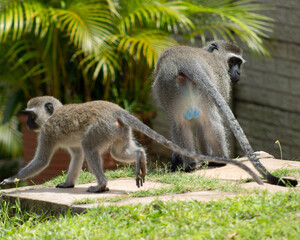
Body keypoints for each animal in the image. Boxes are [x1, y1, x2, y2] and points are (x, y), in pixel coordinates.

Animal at [0, 95, 262, 191]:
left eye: (31, 115)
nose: (28, 124)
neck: (54, 115)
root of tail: (116, 110)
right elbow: (76, 156)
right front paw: (68, 183)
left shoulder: (48, 133)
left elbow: (43, 161)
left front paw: (11, 179)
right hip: (118, 130)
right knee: (118, 152)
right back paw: (140, 158)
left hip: (102, 128)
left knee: (90, 147)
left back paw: (102, 185)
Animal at [152, 39, 298, 188]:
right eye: (233, 61)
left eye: (238, 63)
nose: (238, 72)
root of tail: (184, 60)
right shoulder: (221, 77)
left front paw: (176, 162)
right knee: (210, 121)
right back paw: (220, 161)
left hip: (167, 84)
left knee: (179, 124)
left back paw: (190, 165)